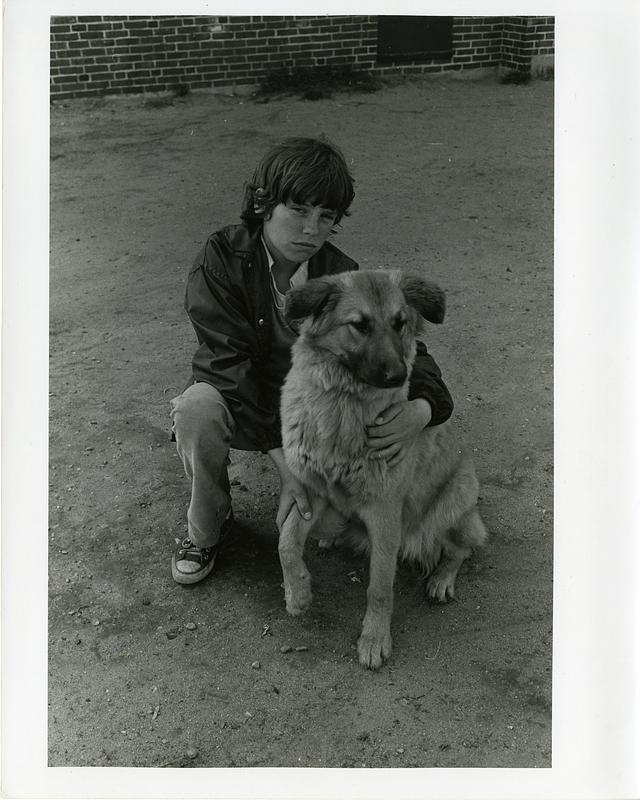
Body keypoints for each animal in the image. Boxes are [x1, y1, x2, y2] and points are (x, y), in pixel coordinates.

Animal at [278, 268, 484, 668]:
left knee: (461, 549)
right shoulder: (313, 491)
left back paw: (441, 579)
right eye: (359, 325)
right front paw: (298, 593)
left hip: (453, 504)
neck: (342, 406)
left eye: (400, 323)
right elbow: (286, 542)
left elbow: (380, 587)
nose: (398, 375)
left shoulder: (385, 513)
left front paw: (374, 639)